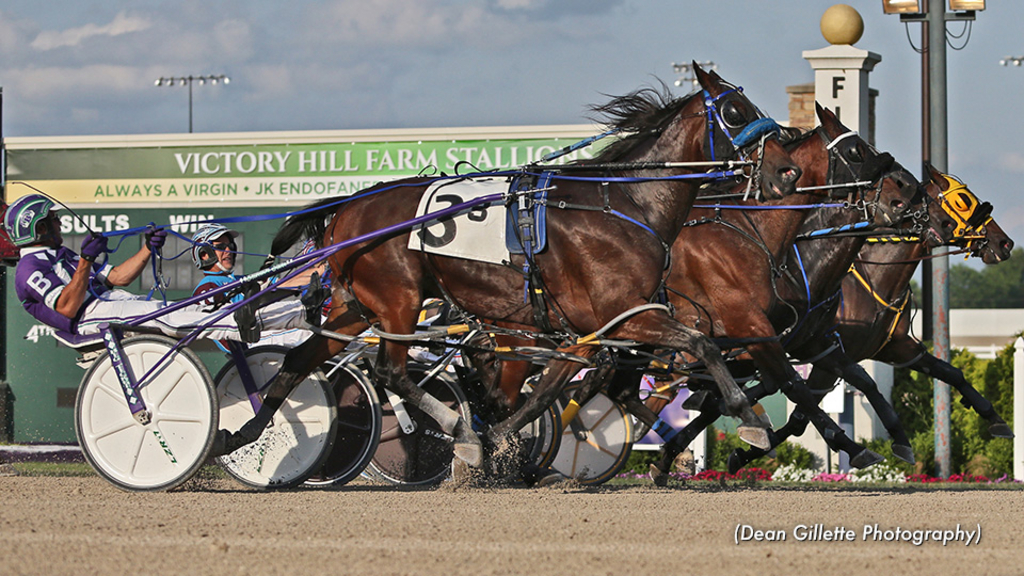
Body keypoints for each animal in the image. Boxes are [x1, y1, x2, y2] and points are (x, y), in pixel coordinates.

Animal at [216, 65, 802, 463]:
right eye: (735, 112)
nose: (787, 171)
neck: (625, 204)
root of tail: (349, 203)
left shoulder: (587, 330)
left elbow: (542, 393)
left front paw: (502, 437)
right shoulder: (628, 316)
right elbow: (704, 344)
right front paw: (750, 419)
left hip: (357, 306)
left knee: (301, 357)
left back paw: (242, 433)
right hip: (399, 300)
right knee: (389, 371)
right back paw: (459, 432)